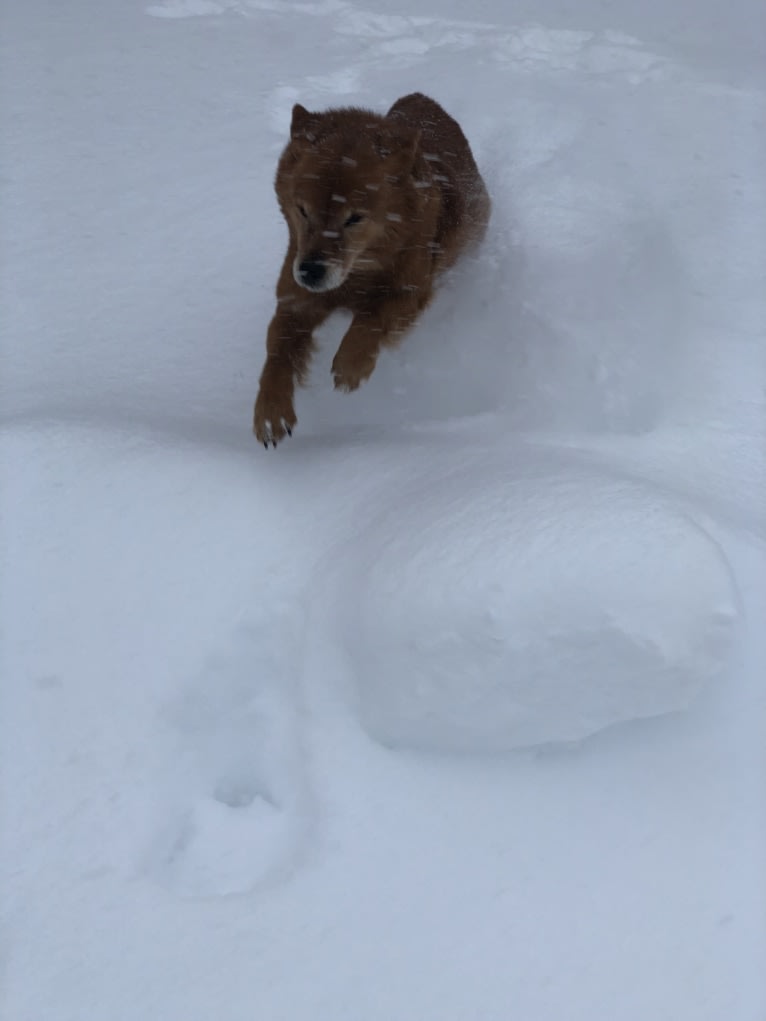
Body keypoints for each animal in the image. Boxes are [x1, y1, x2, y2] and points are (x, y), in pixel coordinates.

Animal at [253, 90, 492, 447]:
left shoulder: (411, 292)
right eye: (303, 210)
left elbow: (372, 318)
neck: (355, 273)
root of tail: (420, 99)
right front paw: (270, 412)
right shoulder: (296, 298)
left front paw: (351, 366)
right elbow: (278, 352)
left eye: (354, 218)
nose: (310, 271)